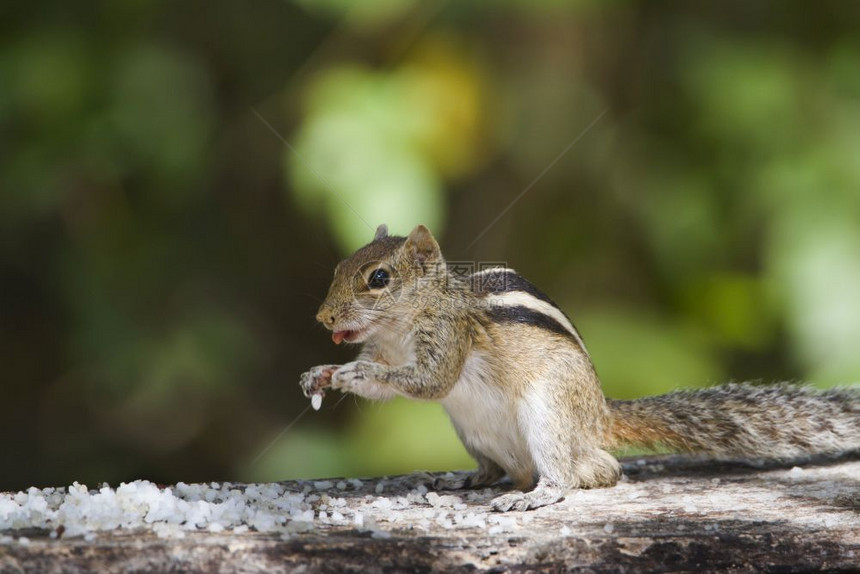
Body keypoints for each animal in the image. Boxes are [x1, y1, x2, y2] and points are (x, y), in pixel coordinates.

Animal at [300, 225, 860, 512]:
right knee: (509, 470)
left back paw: (540, 494)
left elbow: (427, 382)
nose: (322, 318)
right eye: (339, 267)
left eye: (378, 278)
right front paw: (321, 373)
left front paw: (353, 376)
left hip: (549, 413)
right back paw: (471, 480)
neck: (401, 326)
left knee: (592, 471)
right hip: (471, 430)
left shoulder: (448, 339)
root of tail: (599, 416)